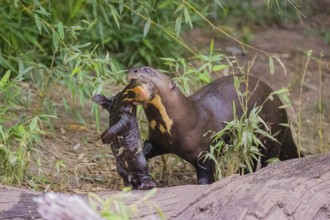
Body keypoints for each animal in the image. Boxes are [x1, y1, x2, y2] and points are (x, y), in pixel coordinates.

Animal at [127, 66, 302, 184]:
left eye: (148, 70)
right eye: (138, 67)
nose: (133, 70)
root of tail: (282, 108)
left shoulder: (205, 152)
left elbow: (206, 175)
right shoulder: (160, 140)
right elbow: (147, 148)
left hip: (271, 134)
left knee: (269, 157)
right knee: (250, 160)